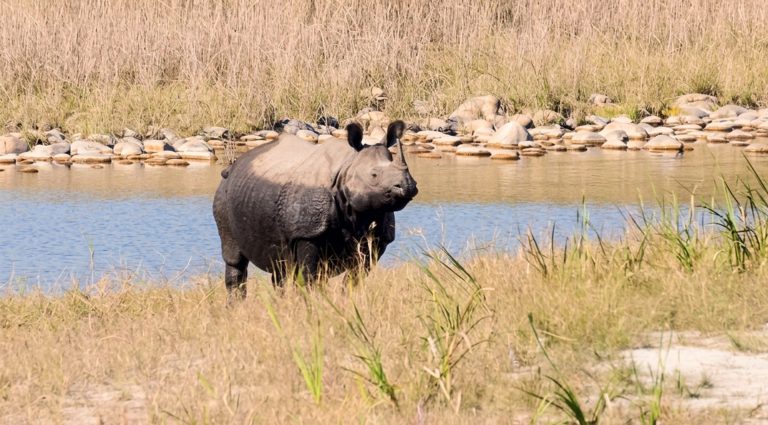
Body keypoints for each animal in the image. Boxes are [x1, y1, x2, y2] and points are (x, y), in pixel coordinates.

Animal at [212, 120, 418, 300]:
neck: (347, 165)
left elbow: (355, 278)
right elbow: (308, 278)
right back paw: (236, 307)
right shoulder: (307, 232)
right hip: (223, 194)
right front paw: (311, 306)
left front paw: (347, 302)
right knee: (235, 258)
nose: (407, 186)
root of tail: (233, 166)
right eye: (374, 175)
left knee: (280, 269)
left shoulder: (377, 237)